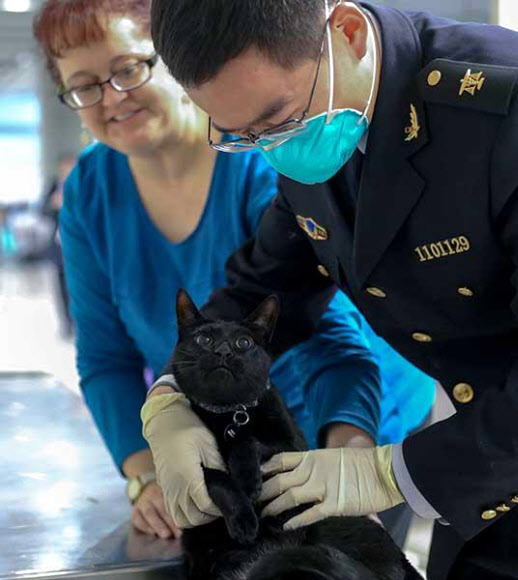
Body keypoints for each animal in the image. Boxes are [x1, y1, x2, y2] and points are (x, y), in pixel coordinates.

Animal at [164, 290, 426, 580]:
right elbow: (217, 477)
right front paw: (244, 518)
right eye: (204, 339)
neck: (229, 414)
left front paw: (248, 480)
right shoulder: (186, 468)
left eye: (244, 342)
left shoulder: (291, 447)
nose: (223, 351)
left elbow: (248, 442)